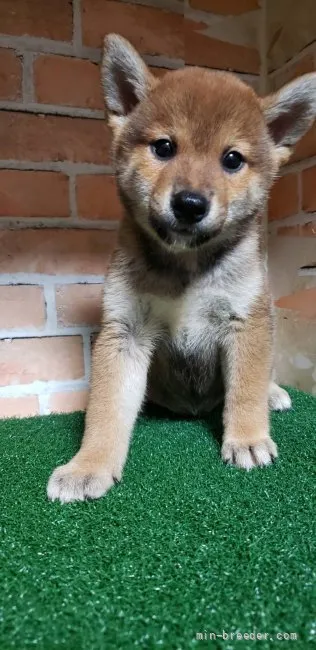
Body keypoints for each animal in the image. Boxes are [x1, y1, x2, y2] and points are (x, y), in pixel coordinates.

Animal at [47, 34, 316, 502]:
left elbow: (244, 390)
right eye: (164, 147)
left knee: (260, 380)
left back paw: (273, 393)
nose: (190, 204)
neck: (187, 266)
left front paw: (248, 438)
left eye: (233, 159)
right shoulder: (125, 331)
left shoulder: (246, 322)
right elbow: (106, 408)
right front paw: (88, 465)